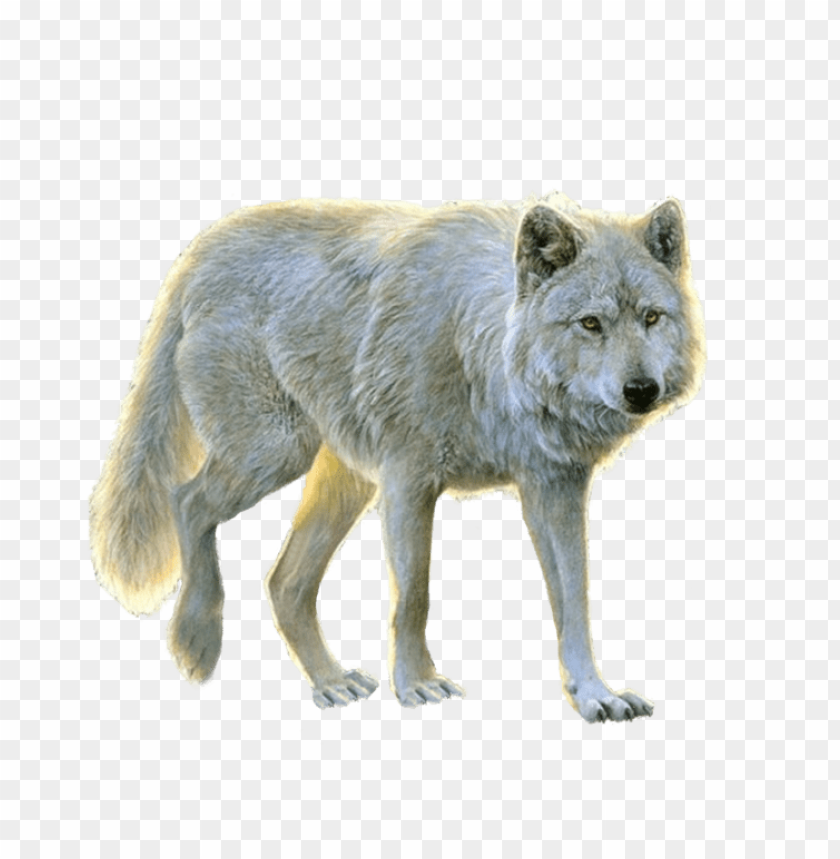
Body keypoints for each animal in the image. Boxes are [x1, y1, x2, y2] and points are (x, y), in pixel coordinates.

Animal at [89, 194, 705, 722]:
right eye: (591, 323)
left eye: (651, 318)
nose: (641, 390)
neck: (478, 349)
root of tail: (203, 249)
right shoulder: (409, 481)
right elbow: (414, 597)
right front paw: (416, 684)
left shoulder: (554, 488)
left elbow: (574, 601)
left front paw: (595, 695)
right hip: (274, 452)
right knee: (186, 500)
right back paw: (197, 640)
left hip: (342, 483)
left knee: (284, 583)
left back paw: (330, 681)